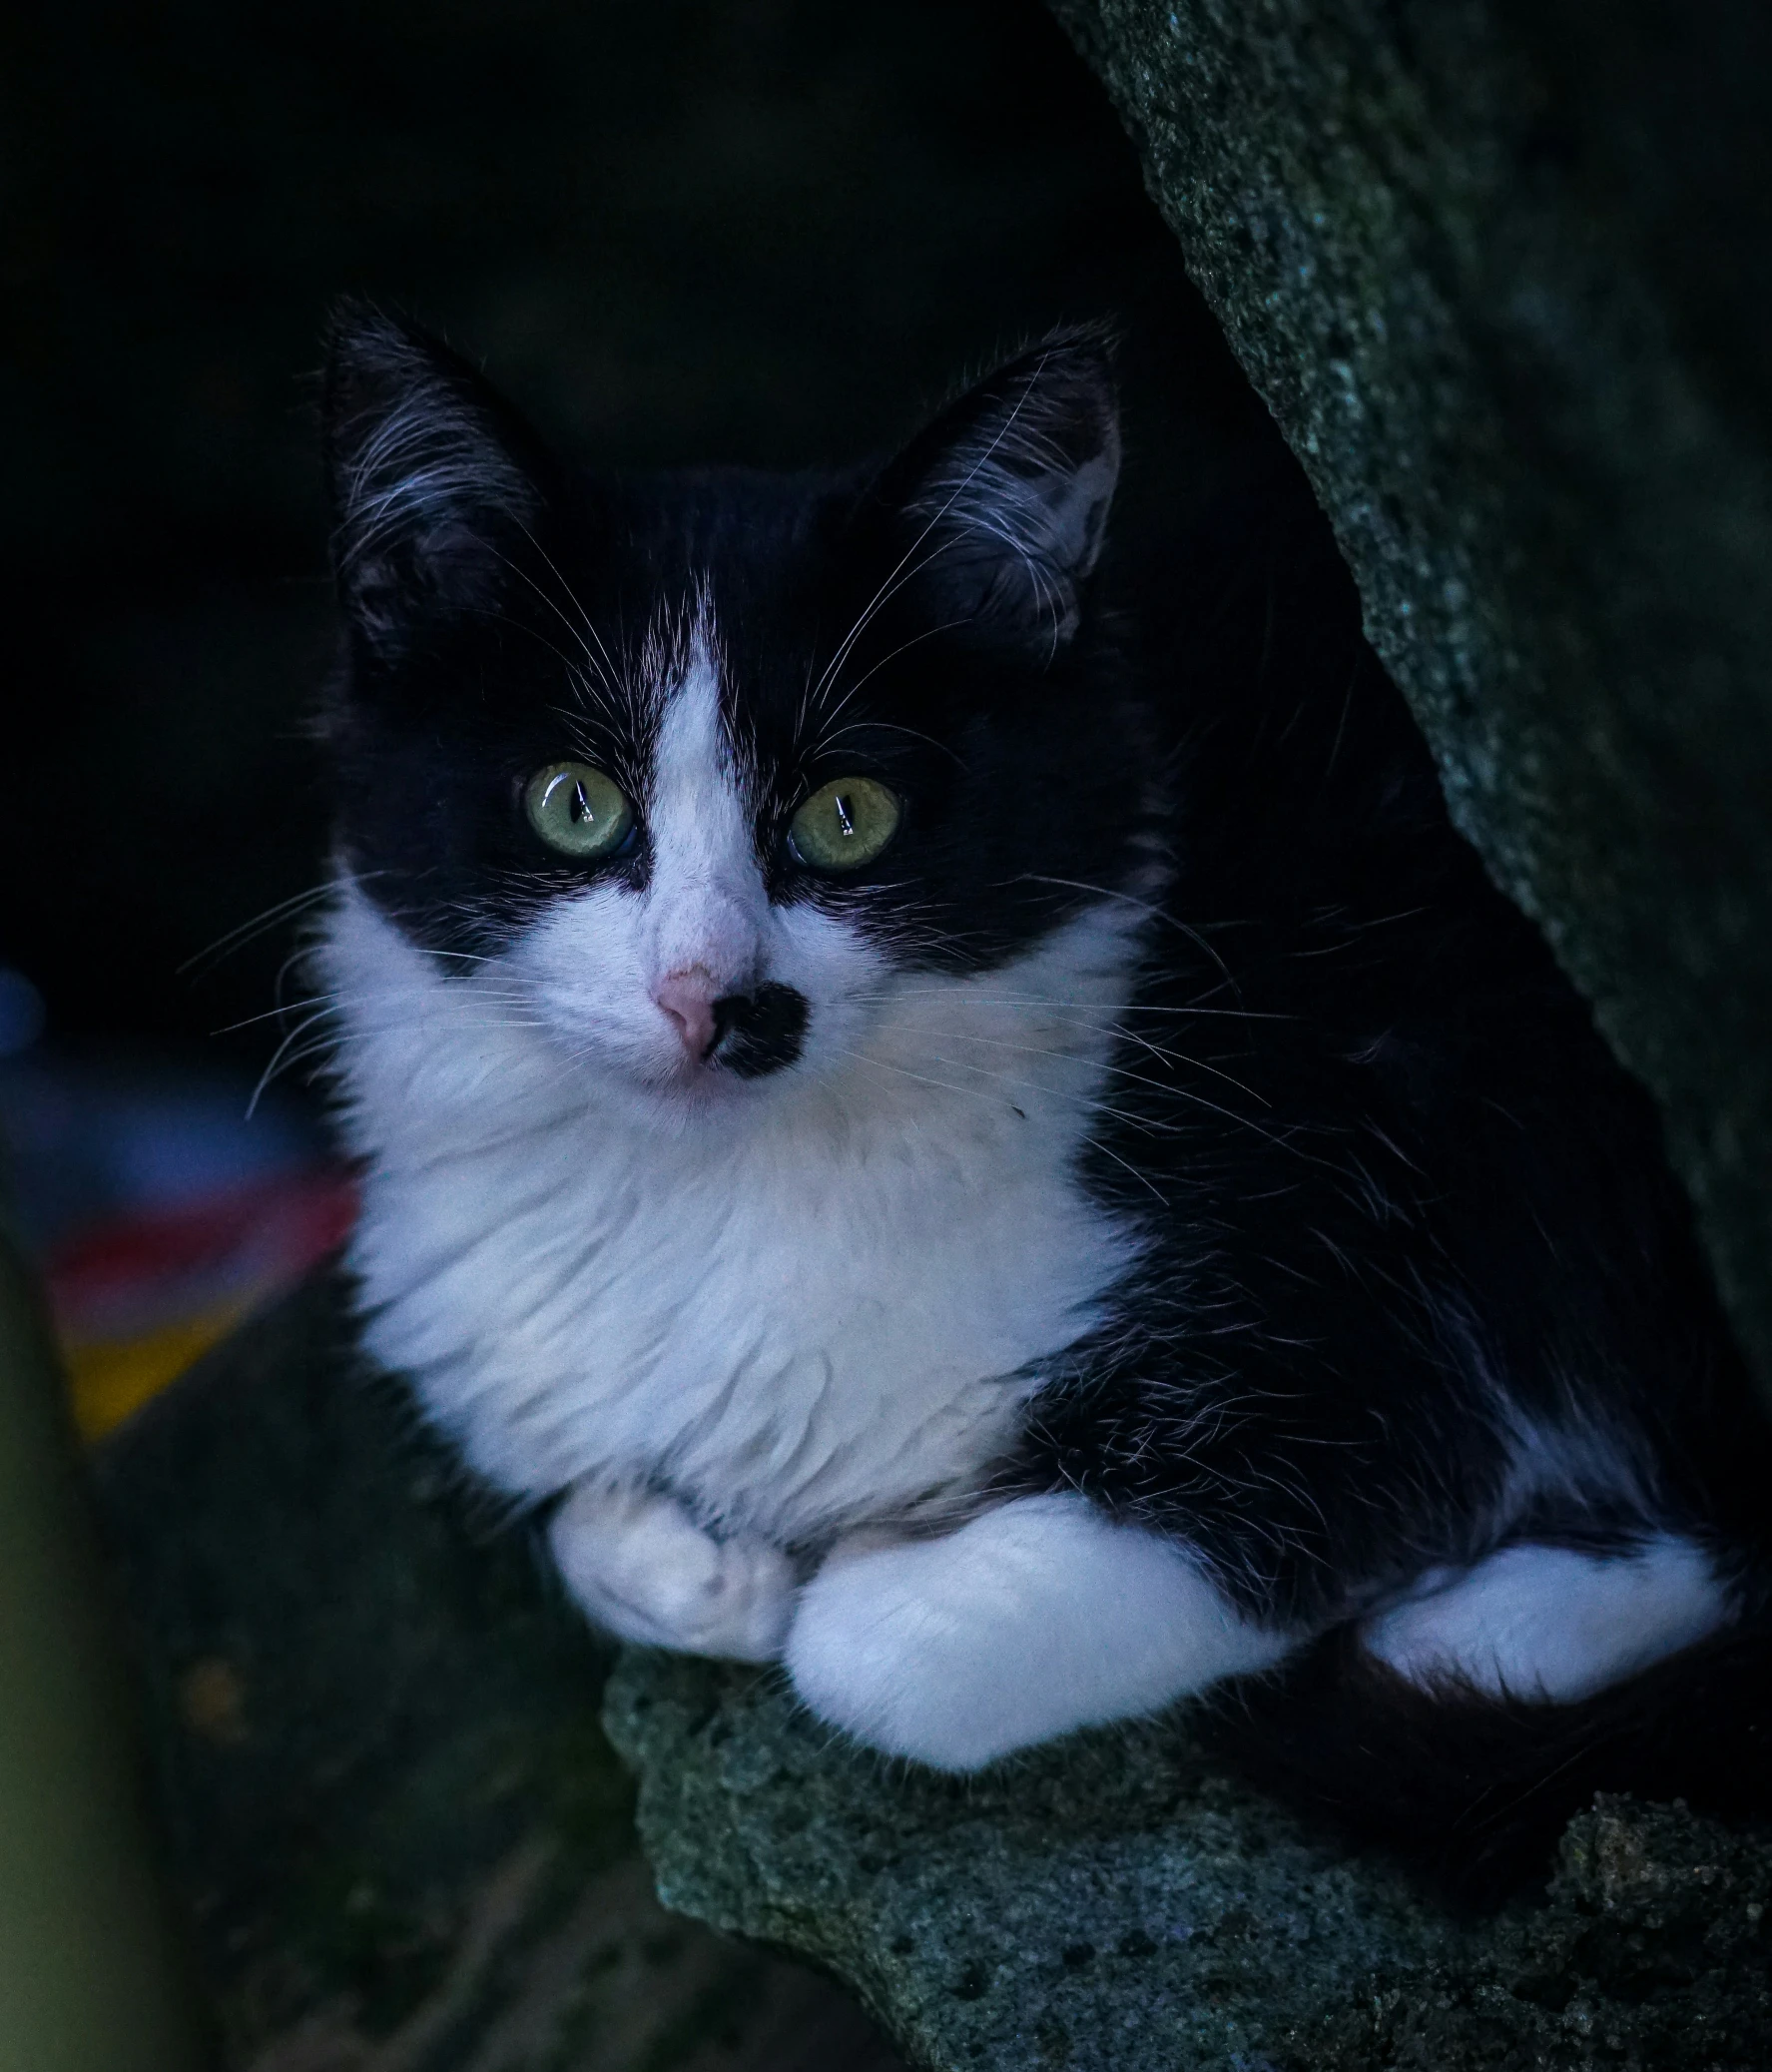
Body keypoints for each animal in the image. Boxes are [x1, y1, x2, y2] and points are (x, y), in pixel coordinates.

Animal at [318, 302, 1772, 1897]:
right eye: (573, 801)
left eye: (847, 815)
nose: (713, 997)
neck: (711, 1187)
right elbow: (589, 1512)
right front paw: (706, 1567)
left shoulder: (1360, 1286)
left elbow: (874, 1648)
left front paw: (837, 1569)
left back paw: (1475, 1624)